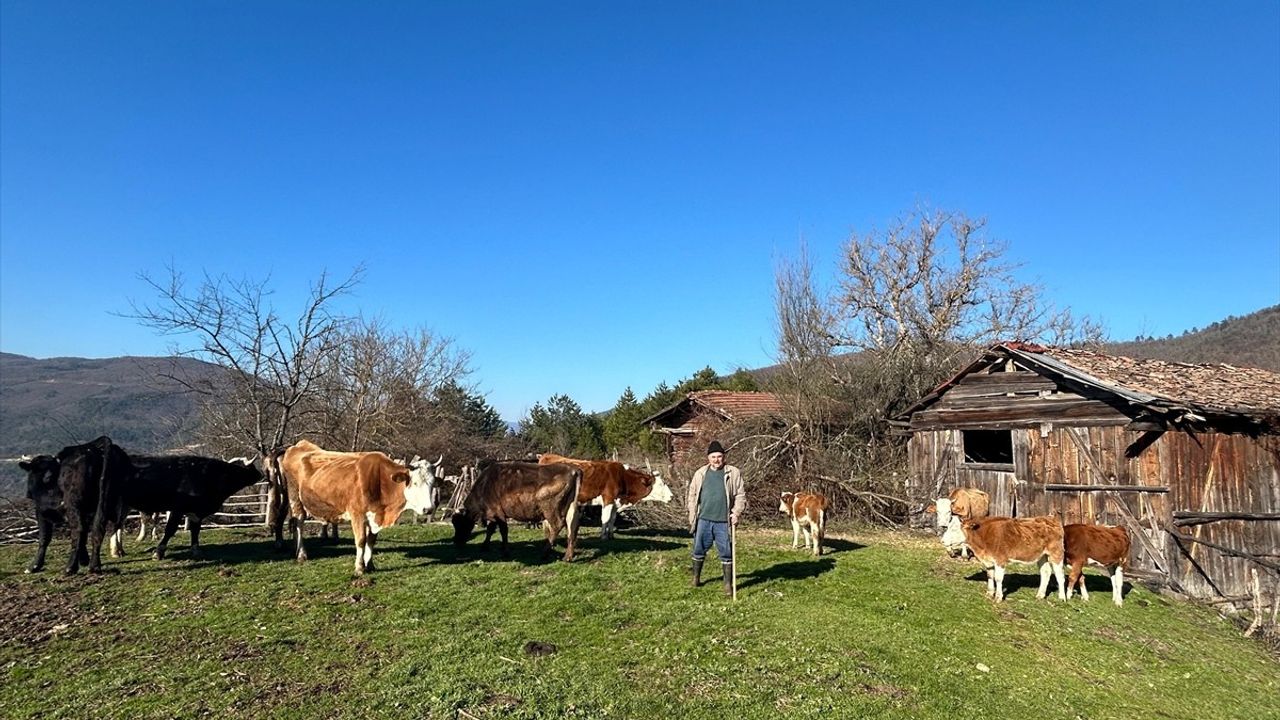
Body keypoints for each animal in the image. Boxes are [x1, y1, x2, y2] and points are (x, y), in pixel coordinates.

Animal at [124, 450, 264, 558]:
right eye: (251, 467)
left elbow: (195, 530)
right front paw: (159, 552)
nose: (261, 474)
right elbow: (170, 529)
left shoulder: (197, 512)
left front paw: (196, 550)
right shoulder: (178, 509)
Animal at [279, 438, 440, 571]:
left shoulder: (374, 516)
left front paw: (370, 564)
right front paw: (360, 567)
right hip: (295, 497)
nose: (428, 509)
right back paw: (301, 554)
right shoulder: (357, 514)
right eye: (415, 482)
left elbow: (371, 541)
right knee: (299, 522)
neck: (381, 482)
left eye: (432, 483)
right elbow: (361, 540)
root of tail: (298, 446)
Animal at [532, 450, 670, 535]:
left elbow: (612, 518)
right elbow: (605, 518)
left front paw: (611, 535)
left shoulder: (615, 502)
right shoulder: (608, 498)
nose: (671, 496)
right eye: (661, 484)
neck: (622, 477)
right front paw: (603, 536)